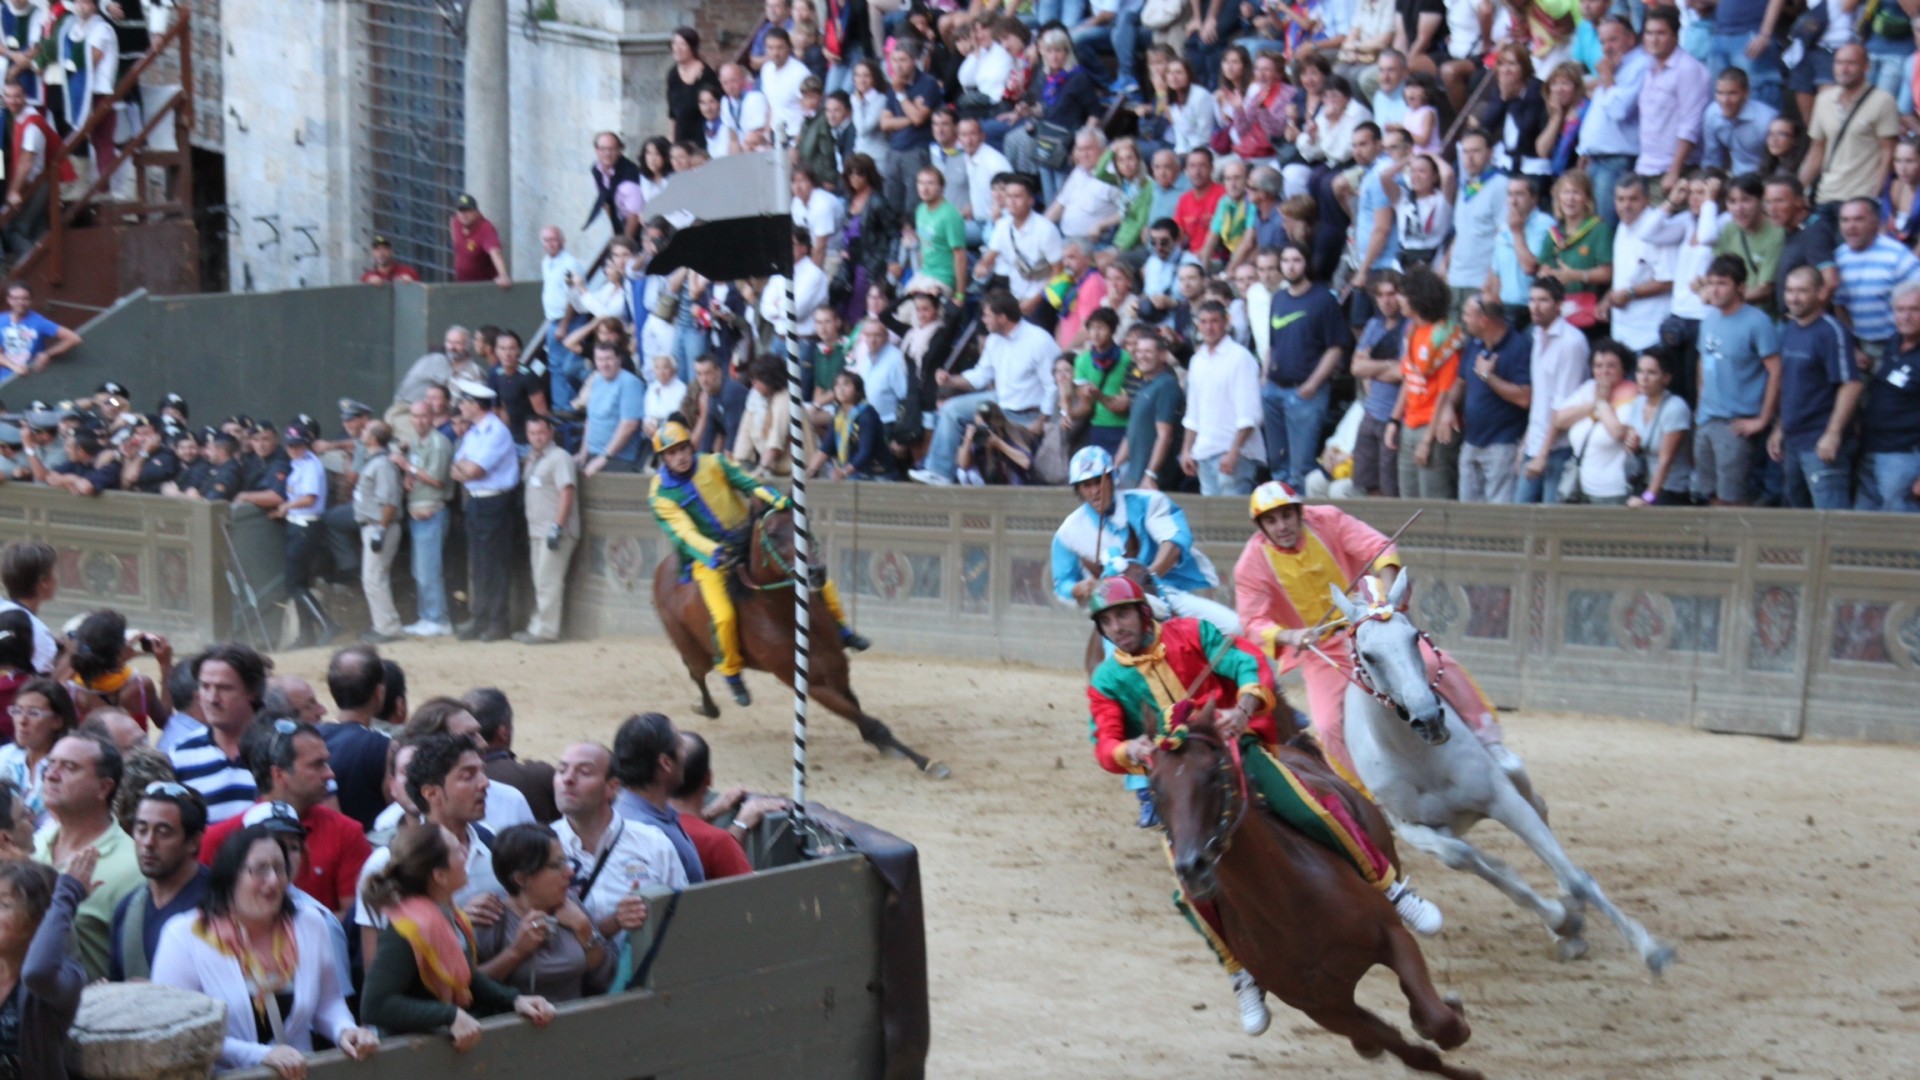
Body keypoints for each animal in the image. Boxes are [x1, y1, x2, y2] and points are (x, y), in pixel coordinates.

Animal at [648, 503, 948, 772]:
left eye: (804, 525)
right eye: (772, 533)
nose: (816, 571)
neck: (785, 619)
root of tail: (664, 566)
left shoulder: (837, 666)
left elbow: (858, 712)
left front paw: (886, 747)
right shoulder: (808, 683)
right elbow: (869, 722)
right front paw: (925, 761)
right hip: (692, 648)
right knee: (696, 672)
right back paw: (713, 705)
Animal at [1144, 699, 1474, 1076]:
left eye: (1214, 774)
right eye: (1154, 787)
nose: (1192, 867)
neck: (1287, 909)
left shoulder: (1392, 936)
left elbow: (1440, 1021)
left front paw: (1451, 1021)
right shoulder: (1322, 1007)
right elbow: (1411, 1050)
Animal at [1328, 576, 1674, 972]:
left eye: (1414, 637)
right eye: (1369, 655)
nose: (1429, 719)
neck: (1419, 759)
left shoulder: (1501, 798)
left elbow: (1574, 878)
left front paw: (1651, 949)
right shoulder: (1411, 828)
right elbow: (1464, 859)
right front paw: (1562, 923)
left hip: (1513, 773)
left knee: (1542, 816)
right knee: (1477, 857)